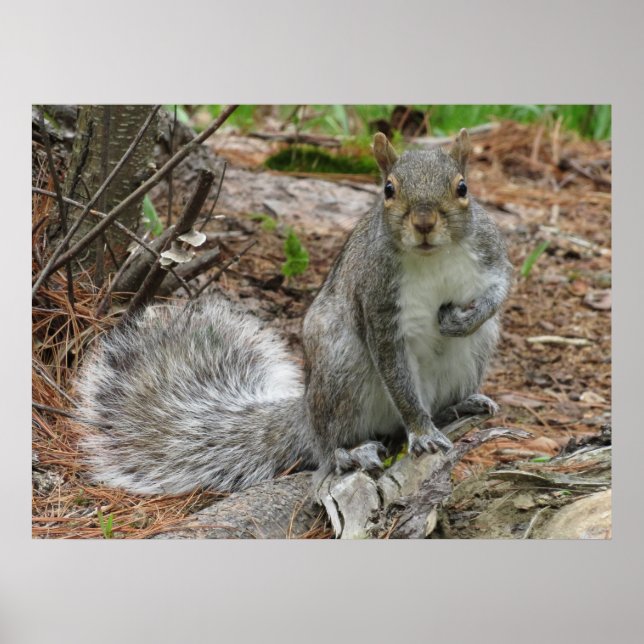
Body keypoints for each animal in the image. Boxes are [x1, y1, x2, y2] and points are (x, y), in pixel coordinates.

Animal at [76, 129, 512, 496]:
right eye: (388, 189)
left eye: (463, 187)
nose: (424, 223)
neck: (432, 256)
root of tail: (305, 410)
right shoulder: (377, 299)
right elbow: (396, 372)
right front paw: (421, 432)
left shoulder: (490, 254)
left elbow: (500, 289)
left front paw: (466, 318)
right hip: (341, 370)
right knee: (328, 444)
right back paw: (349, 452)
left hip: (474, 353)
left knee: (444, 394)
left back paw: (459, 405)